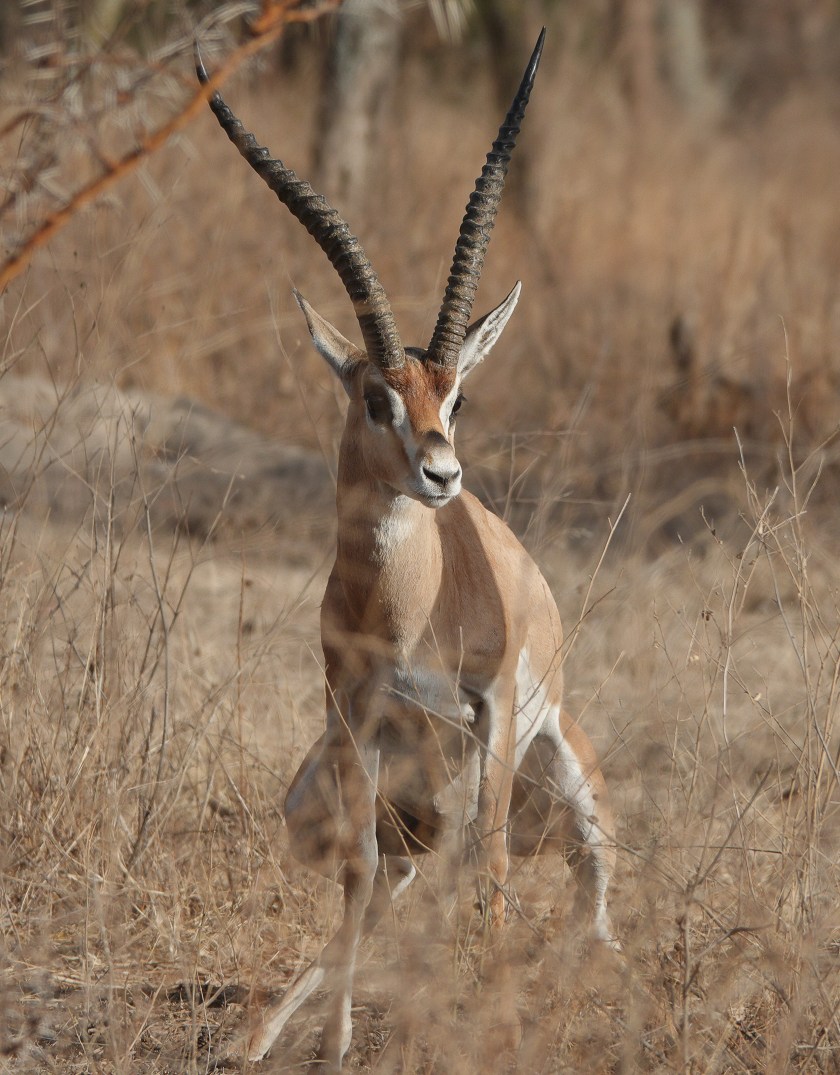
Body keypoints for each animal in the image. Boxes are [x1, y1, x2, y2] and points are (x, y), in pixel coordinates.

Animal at [197, 28, 617, 1070]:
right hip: (371, 791)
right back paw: (263, 1032)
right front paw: (335, 1043)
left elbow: (496, 862)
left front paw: (491, 1022)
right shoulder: (356, 710)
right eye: (373, 396)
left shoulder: (492, 705)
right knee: (400, 879)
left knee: (577, 899)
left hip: (558, 777)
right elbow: (359, 869)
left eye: (456, 395)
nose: (440, 474)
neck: (408, 606)